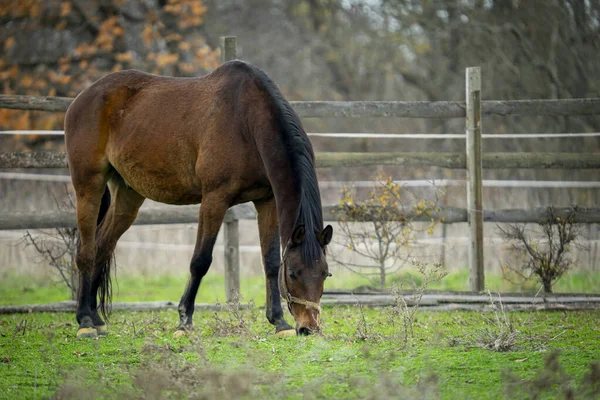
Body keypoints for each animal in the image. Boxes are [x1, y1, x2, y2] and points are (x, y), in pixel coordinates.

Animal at [67, 61, 336, 340]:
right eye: (293, 273)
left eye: (325, 273)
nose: (308, 328)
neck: (246, 122)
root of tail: (84, 96)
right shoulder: (214, 199)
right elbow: (200, 261)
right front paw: (184, 322)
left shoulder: (267, 201)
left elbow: (270, 262)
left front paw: (279, 322)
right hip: (88, 186)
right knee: (86, 252)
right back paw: (84, 320)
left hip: (128, 196)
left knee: (102, 247)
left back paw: (96, 318)